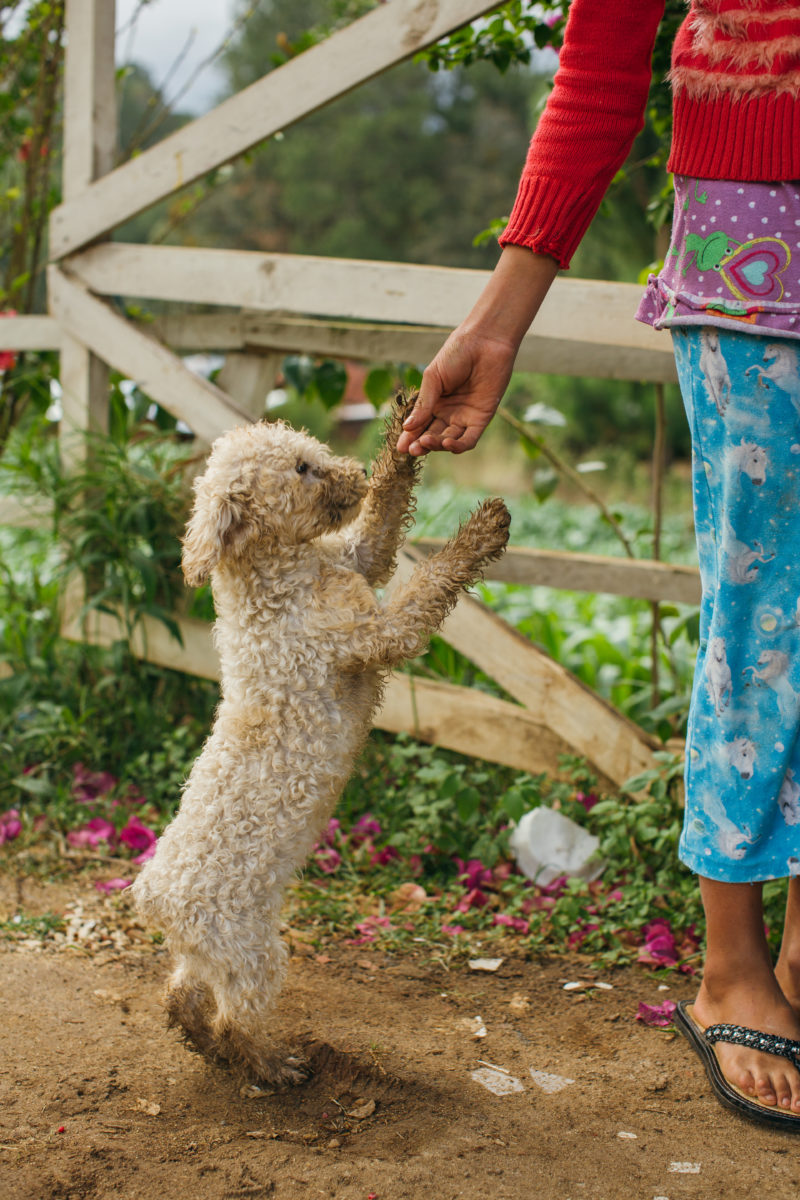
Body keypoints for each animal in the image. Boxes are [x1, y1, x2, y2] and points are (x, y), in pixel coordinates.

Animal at [128, 391, 510, 1089]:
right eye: (302, 470)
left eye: (309, 450)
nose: (351, 476)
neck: (281, 577)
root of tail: (153, 900)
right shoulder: (373, 634)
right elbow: (426, 589)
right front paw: (485, 529)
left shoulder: (358, 560)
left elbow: (382, 529)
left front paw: (406, 427)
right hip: (251, 952)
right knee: (236, 1016)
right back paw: (273, 1067)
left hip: (213, 953)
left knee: (183, 996)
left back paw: (205, 1046)